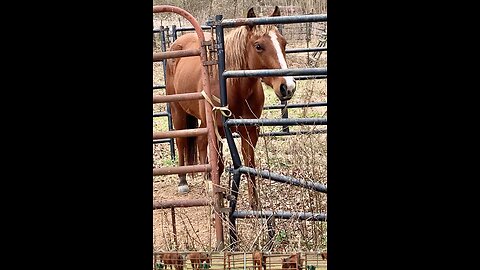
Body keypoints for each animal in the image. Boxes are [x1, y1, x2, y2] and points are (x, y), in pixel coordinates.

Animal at [166, 5, 296, 209]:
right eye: (258, 46)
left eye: (284, 43)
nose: (287, 86)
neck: (232, 88)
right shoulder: (218, 130)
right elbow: (219, 165)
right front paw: (219, 199)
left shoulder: (249, 131)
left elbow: (250, 164)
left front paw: (254, 206)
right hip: (178, 112)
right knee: (181, 142)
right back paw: (183, 182)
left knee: (201, 143)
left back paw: (206, 179)